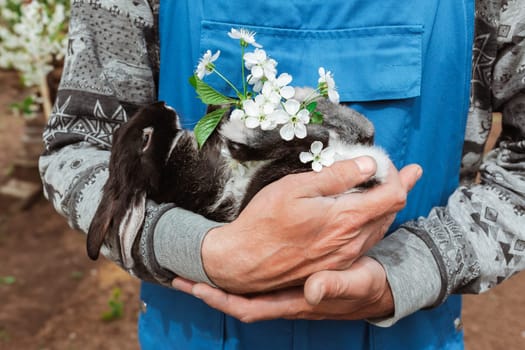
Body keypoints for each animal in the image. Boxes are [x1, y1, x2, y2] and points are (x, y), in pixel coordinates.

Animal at [86, 89, 388, 270]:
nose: (162, 104)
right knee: (315, 139)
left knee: (362, 129)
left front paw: (222, 103)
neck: (168, 160)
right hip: (279, 173)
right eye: (145, 138)